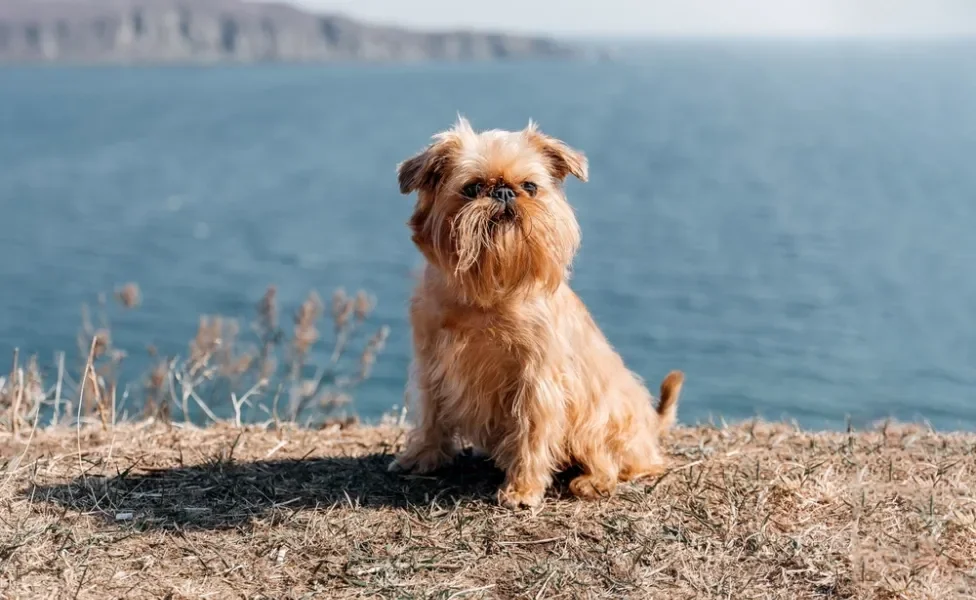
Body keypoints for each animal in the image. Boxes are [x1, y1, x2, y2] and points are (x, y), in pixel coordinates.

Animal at [390, 116, 688, 506]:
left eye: (529, 187)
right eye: (473, 188)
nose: (504, 192)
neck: (487, 291)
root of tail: (650, 424)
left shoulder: (536, 380)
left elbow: (531, 432)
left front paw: (522, 489)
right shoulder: (430, 363)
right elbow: (429, 413)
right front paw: (421, 457)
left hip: (600, 415)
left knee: (618, 460)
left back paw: (593, 481)